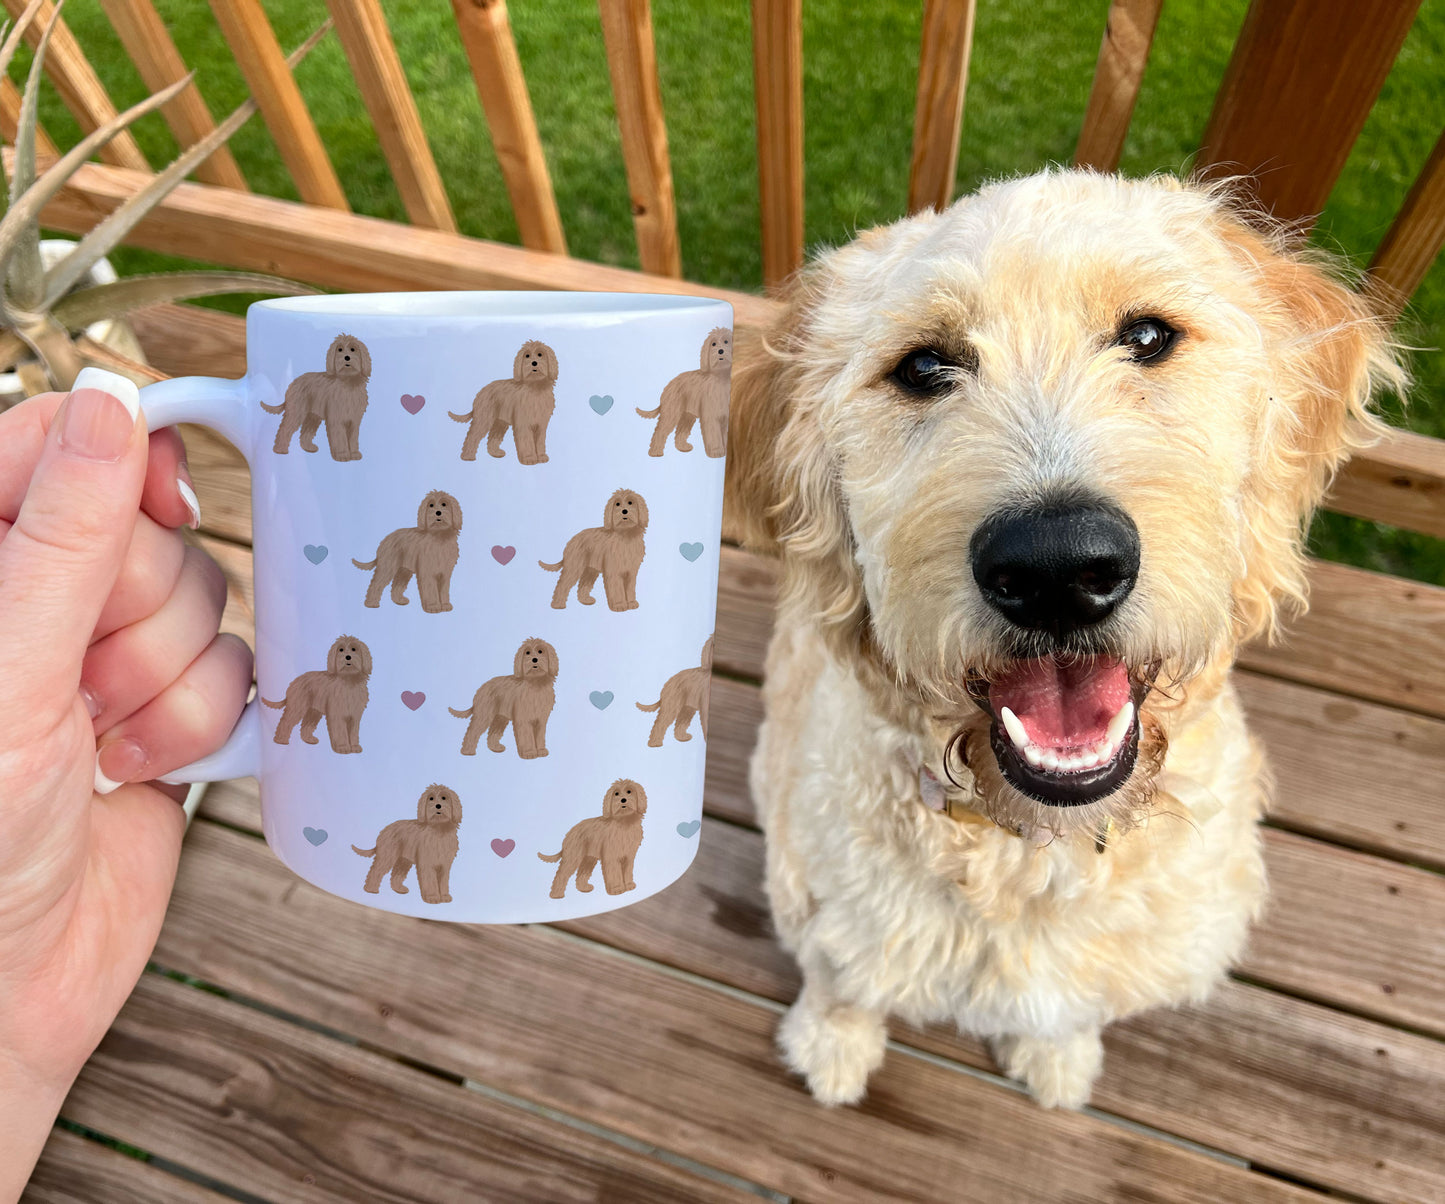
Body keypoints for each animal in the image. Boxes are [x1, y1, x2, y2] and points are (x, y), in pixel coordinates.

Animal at [641, 323, 734, 456]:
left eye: (726, 341)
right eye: (713, 344)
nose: (720, 351)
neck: (720, 377)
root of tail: (669, 385)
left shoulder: (724, 415)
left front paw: (726, 450)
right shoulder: (711, 416)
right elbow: (714, 435)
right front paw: (716, 451)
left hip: (687, 415)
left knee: (681, 431)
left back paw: (683, 447)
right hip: (672, 411)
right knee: (660, 430)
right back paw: (655, 451)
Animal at [728, 169, 1404, 1110]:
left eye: (1147, 335)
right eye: (923, 366)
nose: (1056, 568)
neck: (1033, 848)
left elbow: (1064, 1013)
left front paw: (1056, 1059)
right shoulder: (820, 895)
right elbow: (842, 979)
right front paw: (832, 1047)